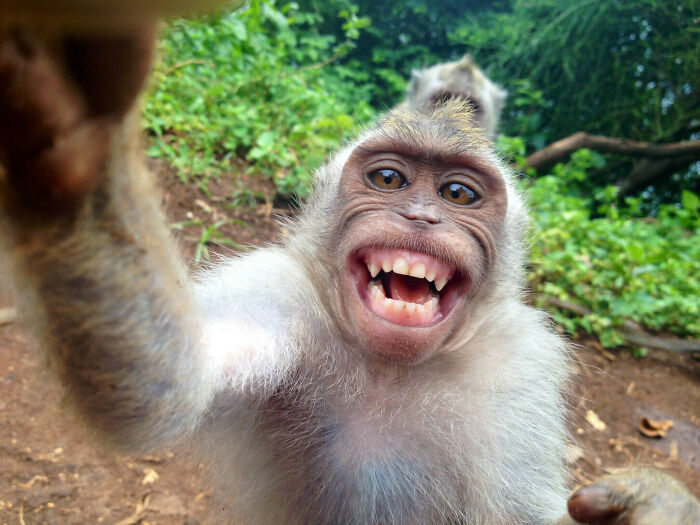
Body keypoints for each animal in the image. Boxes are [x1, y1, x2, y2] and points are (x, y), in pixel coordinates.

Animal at [1, 23, 699, 525]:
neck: (392, 366)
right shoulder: (279, 291)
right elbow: (165, 388)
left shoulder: (518, 371)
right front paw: (75, 120)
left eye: (458, 194)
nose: (420, 217)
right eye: (389, 179)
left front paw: (656, 508)